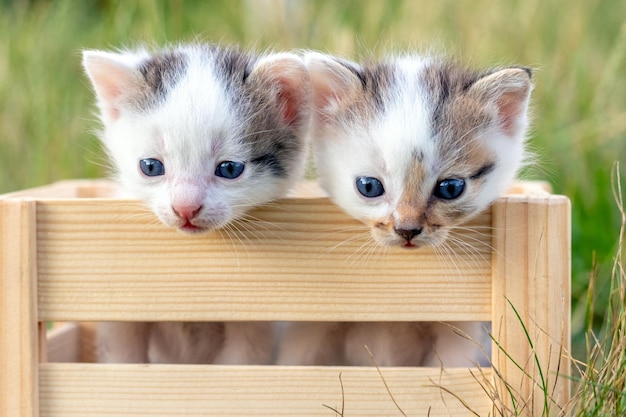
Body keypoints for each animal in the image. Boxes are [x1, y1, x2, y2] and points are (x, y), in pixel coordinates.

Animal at [81, 44, 310, 364]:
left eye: (229, 169)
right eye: (151, 166)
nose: (185, 208)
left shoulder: (256, 324)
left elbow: (244, 360)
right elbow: (122, 355)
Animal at [278, 52, 532, 368]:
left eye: (451, 188)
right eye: (369, 187)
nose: (407, 230)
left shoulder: (460, 333)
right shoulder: (312, 327)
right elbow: (295, 364)